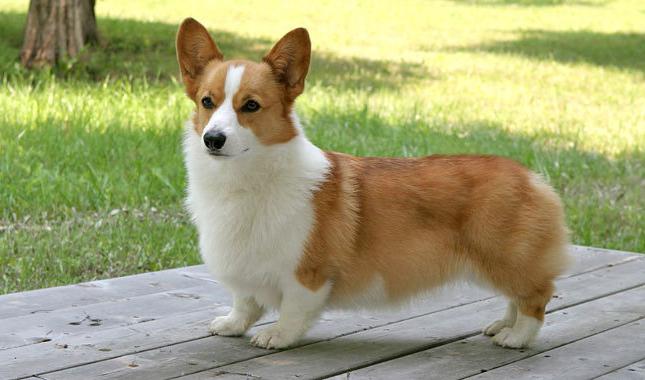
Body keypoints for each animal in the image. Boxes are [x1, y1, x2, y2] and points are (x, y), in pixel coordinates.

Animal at [176, 17, 568, 350]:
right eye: (207, 102)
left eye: (251, 106)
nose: (213, 139)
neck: (244, 180)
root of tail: (531, 177)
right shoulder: (244, 264)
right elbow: (244, 302)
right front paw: (232, 325)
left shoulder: (307, 274)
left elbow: (293, 309)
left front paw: (277, 336)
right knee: (516, 298)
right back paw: (502, 326)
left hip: (504, 258)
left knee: (535, 296)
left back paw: (516, 337)